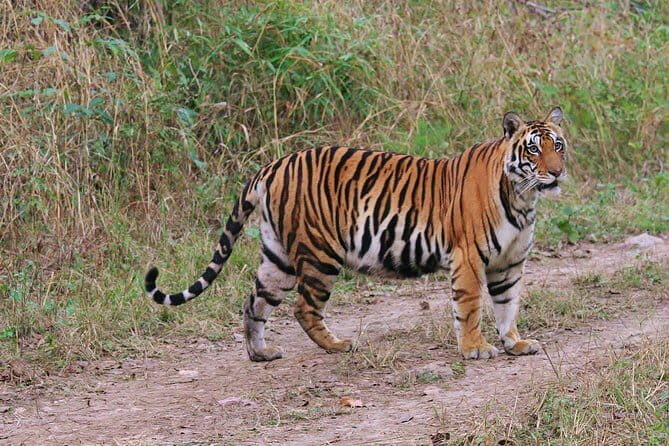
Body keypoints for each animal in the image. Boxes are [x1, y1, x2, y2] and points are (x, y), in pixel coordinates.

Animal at [145, 107, 567, 361]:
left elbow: (507, 304)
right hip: (319, 254)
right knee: (304, 308)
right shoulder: (468, 258)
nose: (557, 172)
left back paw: (260, 354)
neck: (522, 198)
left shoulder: (509, 263)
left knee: (254, 302)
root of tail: (273, 165)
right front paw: (475, 348)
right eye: (533, 150)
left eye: (558, 145)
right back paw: (338, 345)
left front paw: (515, 343)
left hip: (278, 258)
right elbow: (470, 307)